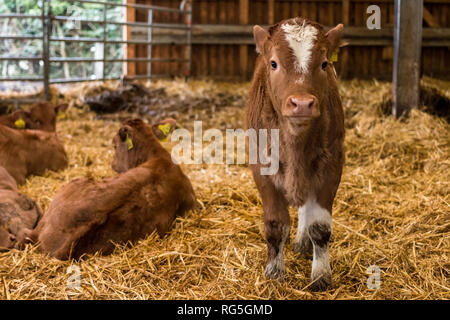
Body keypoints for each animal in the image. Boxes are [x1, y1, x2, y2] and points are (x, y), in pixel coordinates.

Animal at [246, 18, 344, 292]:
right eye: (274, 63)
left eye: (324, 63)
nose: (301, 104)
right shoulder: (261, 169)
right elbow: (275, 224)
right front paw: (274, 270)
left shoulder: (332, 166)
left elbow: (319, 225)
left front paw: (321, 275)